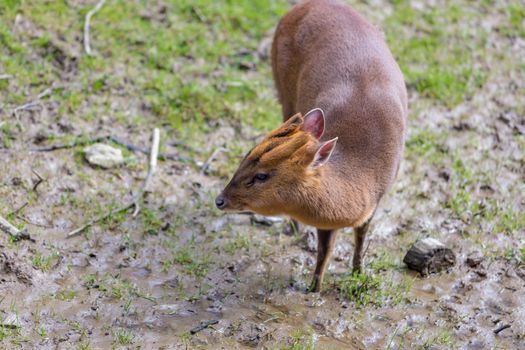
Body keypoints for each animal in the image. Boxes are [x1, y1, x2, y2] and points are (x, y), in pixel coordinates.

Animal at [215, 0, 408, 292]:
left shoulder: (377, 198)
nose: (220, 200)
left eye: (262, 176)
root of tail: (304, 5)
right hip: (283, 88)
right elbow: (324, 250)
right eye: (245, 157)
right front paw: (314, 289)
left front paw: (357, 273)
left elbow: (359, 237)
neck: (361, 168)